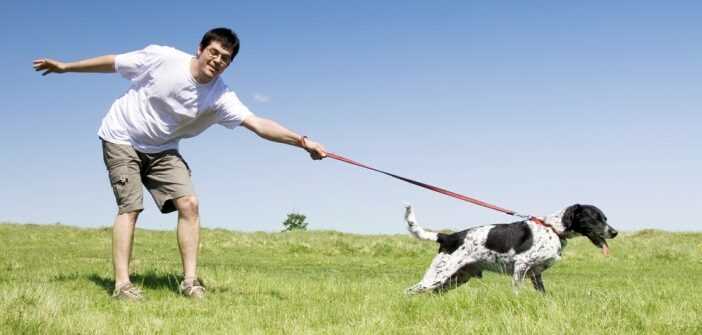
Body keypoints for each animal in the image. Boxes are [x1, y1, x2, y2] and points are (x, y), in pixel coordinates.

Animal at [404, 203, 620, 296]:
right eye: (595, 218)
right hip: (436, 277)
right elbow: (517, 292)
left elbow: (543, 294)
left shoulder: (536, 274)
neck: (552, 228)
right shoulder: (521, 267)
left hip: (454, 279)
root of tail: (448, 237)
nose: (615, 232)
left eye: (605, 218)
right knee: (409, 291)